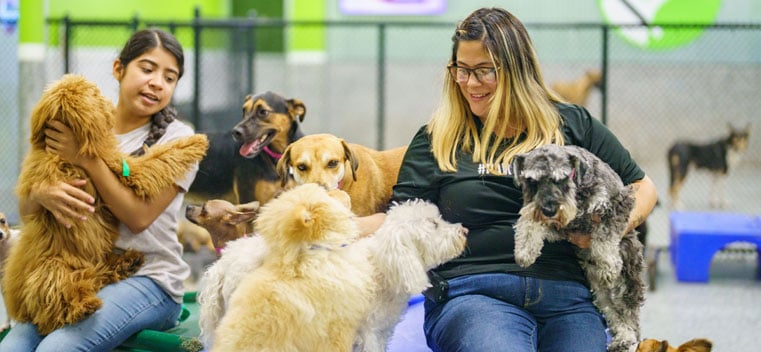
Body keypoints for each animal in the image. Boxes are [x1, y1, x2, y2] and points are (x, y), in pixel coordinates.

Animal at [5, 73, 211, 332]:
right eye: (94, 93)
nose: (105, 99)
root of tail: (18, 308)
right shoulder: (127, 169)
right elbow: (159, 158)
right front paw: (194, 142)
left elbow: (158, 155)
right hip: (54, 267)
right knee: (56, 302)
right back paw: (82, 306)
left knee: (97, 275)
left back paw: (126, 262)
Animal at [512, 144, 644, 352]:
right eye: (532, 181)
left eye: (561, 178)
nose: (549, 209)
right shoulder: (560, 226)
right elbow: (529, 221)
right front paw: (524, 250)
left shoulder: (617, 204)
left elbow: (604, 236)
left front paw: (607, 267)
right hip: (598, 292)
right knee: (612, 311)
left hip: (628, 276)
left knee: (629, 313)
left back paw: (627, 337)